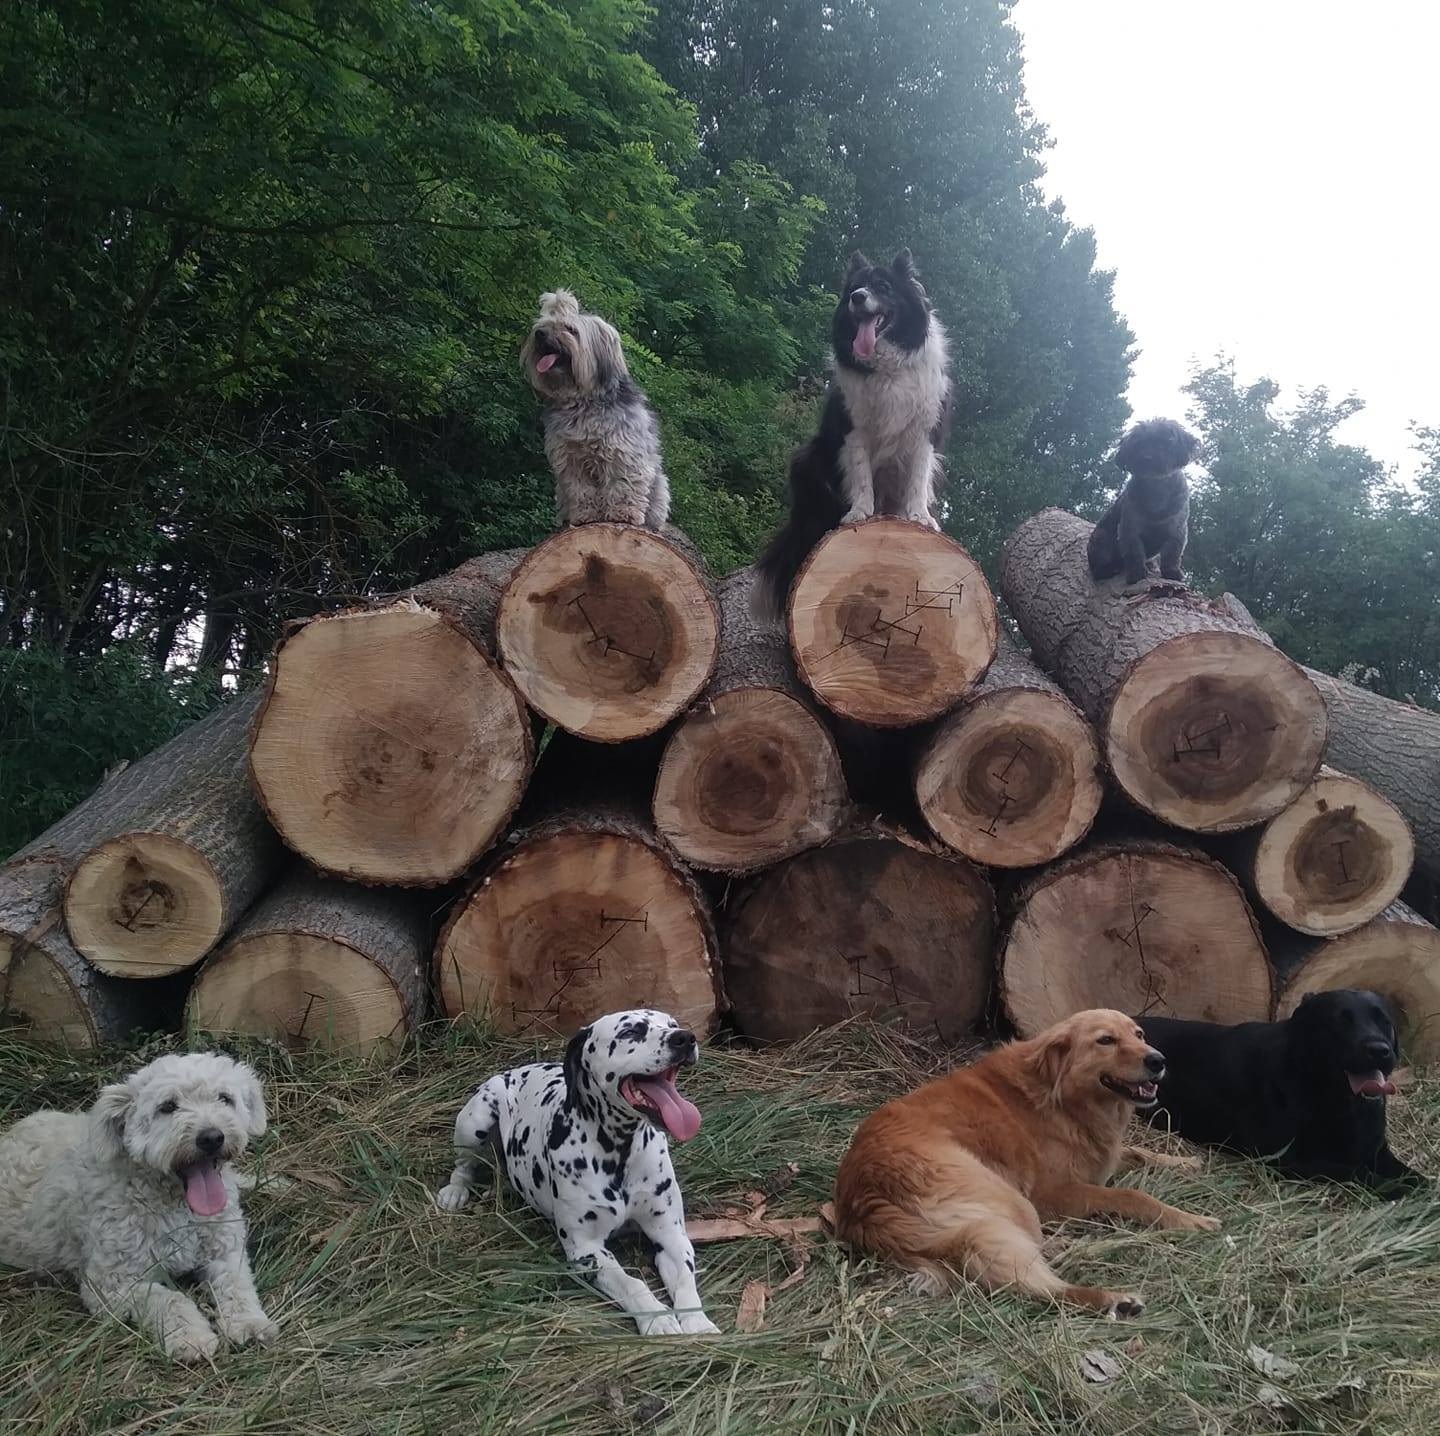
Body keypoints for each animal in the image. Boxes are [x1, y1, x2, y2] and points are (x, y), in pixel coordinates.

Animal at [0, 1048, 275, 1359]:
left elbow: (238, 1285)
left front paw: (249, 1323)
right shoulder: (110, 1284)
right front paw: (190, 1336)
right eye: (168, 1106)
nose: (212, 1137)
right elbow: (169, 1299)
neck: (179, 1209)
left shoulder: (226, 1252)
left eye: (224, 1098)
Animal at [429, 1008, 717, 1330]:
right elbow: (632, 1284)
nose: (685, 1038)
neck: (618, 1151)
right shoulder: (585, 1249)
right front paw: (658, 1320)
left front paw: (698, 1323)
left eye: (672, 1024)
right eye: (630, 1032)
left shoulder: (671, 1235)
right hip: (475, 1120)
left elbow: (685, 1282)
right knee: (462, 1166)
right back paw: (455, 1191)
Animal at [521, 288, 671, 530]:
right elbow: (581, 490)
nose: (540, 334)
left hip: (659, 486)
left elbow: (623, 484)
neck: (582, 400)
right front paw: (585, 515)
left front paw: (622, 513)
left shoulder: (624, 454)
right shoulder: (570, 460)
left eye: (570, 329)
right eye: (542, 325)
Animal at [835, 1002, 1215, 1319]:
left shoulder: (1097, 1155)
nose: (1158, 1060)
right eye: (1105, 1040)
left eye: (1139, 1034)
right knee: (1038, 1281)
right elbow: (1132, 1196)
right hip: (1008, 1199)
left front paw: (1183, 1163)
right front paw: (1189, 1219)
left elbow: (1135, 1152)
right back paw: (1111, 1297)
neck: (1059, 1092)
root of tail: (864, 1202)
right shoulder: (1053, 1192)